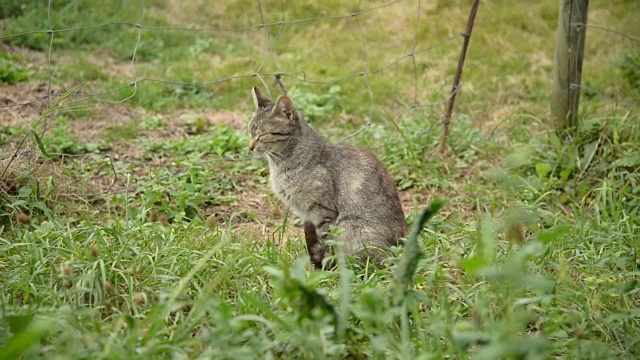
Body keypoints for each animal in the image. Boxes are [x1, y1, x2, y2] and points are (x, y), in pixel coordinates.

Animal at [249, 86, 404, 268]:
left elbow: (326, 244)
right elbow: (312, 244)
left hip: (350, 227)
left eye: (262, 135)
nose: (250, 147)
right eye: (250, 132)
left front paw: (327, 268)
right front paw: (315, 267)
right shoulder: (307, 217)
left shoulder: (323, 212)